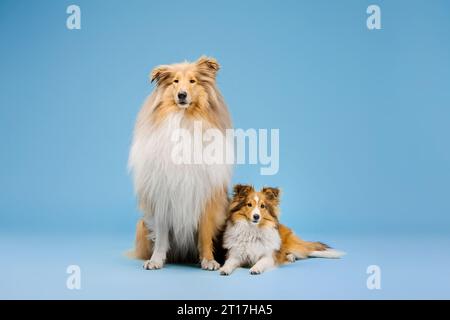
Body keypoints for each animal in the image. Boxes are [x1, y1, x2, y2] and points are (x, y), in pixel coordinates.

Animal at [127, 57, 230, 270]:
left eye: (192, 81)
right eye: (175, 81)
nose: (182, 95)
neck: (184, 119)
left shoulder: (206, 197)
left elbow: (205, 235)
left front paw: (209, 260)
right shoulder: (162, 196)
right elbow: (161, 236)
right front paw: (156, 260)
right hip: (141, 224)